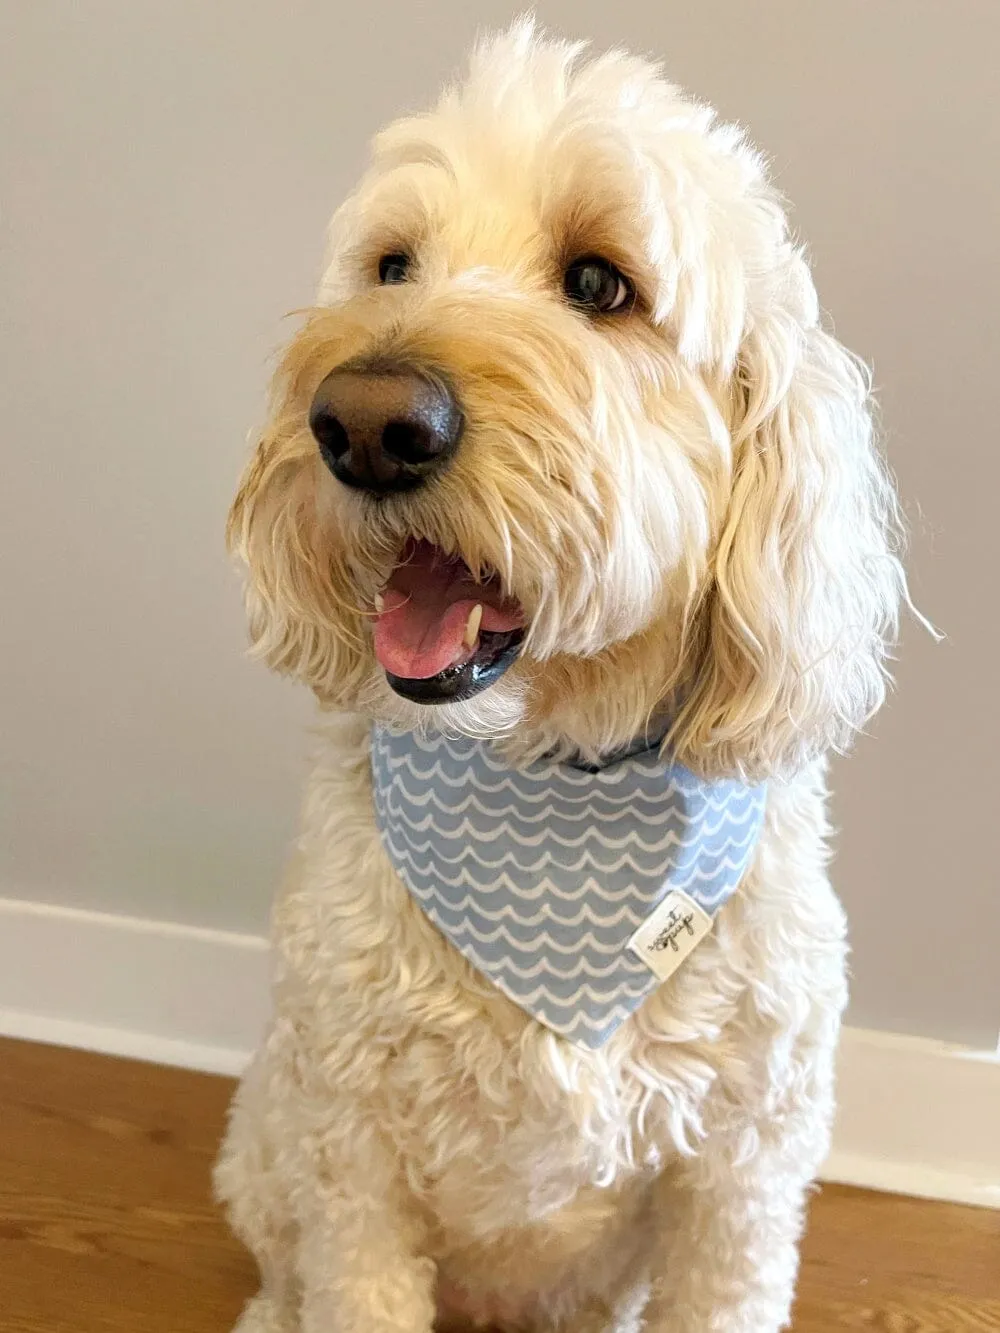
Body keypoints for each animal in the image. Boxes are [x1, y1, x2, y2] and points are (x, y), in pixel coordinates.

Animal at [217, 20, 906, 1333]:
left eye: (598, 284)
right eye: (391, 265)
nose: (364, 424)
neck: (551, 771)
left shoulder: (741, 1173)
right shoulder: (351, 1154)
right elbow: (352, 1278)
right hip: (269, 1138)